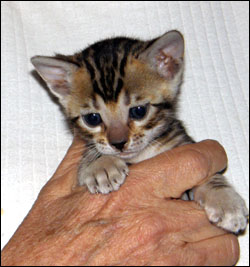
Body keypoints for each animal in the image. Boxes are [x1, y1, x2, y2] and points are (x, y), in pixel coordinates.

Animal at [31, 29, 248, 234]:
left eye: (139, 111)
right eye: (92, 119)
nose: (118, 143)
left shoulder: (182, 142)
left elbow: (211, 175)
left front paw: (226, 201)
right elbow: (88, 160)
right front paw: (102, 165)